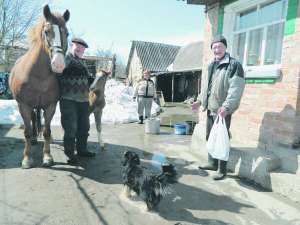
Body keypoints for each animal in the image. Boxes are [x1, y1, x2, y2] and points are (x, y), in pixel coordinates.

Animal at [8, 4, 70, 169]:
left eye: (67, 33)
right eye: (47, 31)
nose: (58, 64)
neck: (39, 75)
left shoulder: (50, 105)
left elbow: (47, 131)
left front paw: (47, 157)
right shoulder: (23, 105)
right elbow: (27, 132)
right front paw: (26, 158)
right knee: (33, 120)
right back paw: (35, 139)